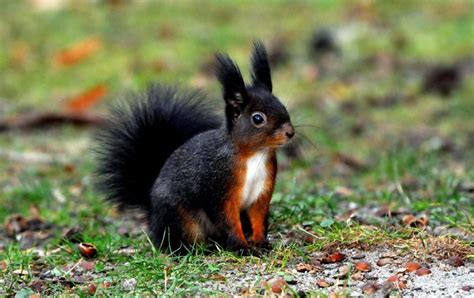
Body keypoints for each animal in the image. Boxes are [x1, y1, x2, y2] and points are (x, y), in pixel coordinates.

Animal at [95, 40, 294, 253]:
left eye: (282, 105)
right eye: (258, 119)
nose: (290, 132)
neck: (255, 154)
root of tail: (152, 212)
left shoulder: (263, 190)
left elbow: (258, 216)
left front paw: (260, 241)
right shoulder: (219, 187)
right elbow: (228, 220)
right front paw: (241, 246)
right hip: (182, 219)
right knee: (177, 241)